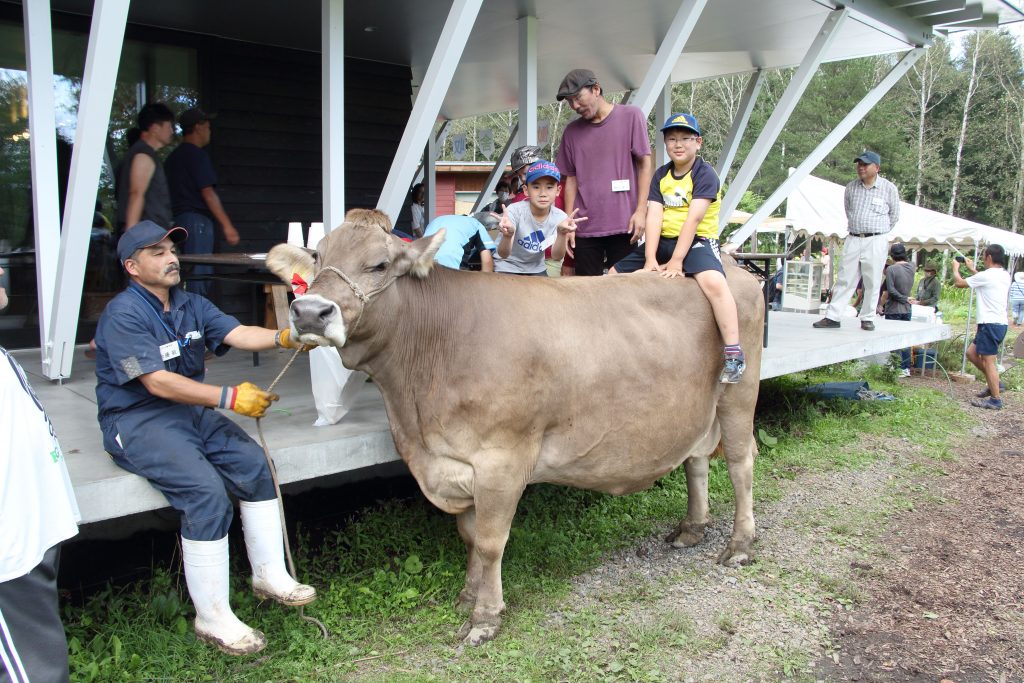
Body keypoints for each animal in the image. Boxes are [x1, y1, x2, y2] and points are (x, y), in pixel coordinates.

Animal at [268, 209, 765, 647]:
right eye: (318, 256)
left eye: (380, 263)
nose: (310, 312)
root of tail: (735, 269)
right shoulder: (456, 461)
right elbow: (469, 536)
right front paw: (468, 595)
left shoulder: (500, 461)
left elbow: (490, 542)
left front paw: (485, 617)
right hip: (696, 408)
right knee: (696, 459)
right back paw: (692, 528)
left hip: (739, 393)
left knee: (740, 464)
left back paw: (740, 545)